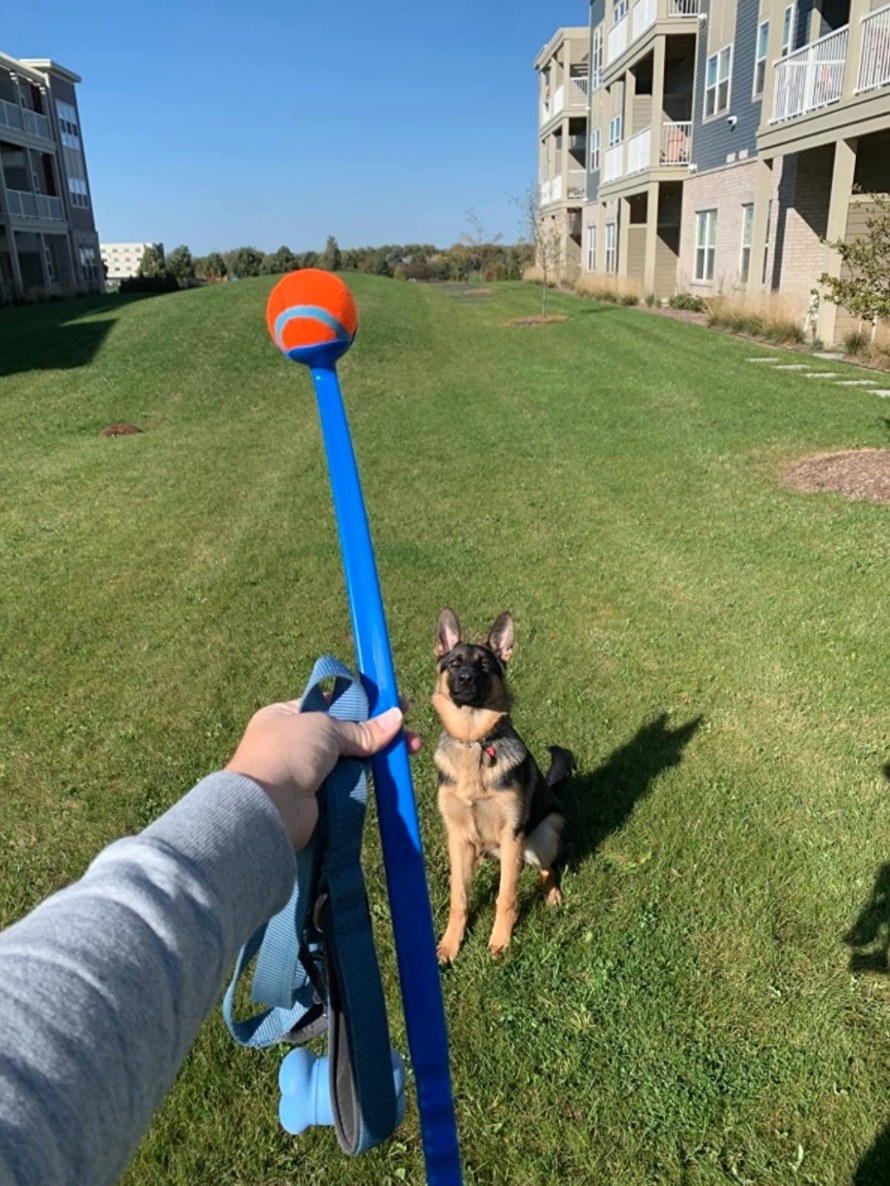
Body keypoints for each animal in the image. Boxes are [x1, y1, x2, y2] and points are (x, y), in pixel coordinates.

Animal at [434, 607, 574, 958]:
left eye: (485, 665)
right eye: (454, 663)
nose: (465, 679)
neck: (475, 742)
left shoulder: (512, 836)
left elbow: (505, 896)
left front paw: (500, 940)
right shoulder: (457, 835)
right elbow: (459, 898)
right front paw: (450, 943)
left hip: (543, 834)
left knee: (548, 869)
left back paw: (553, 895)